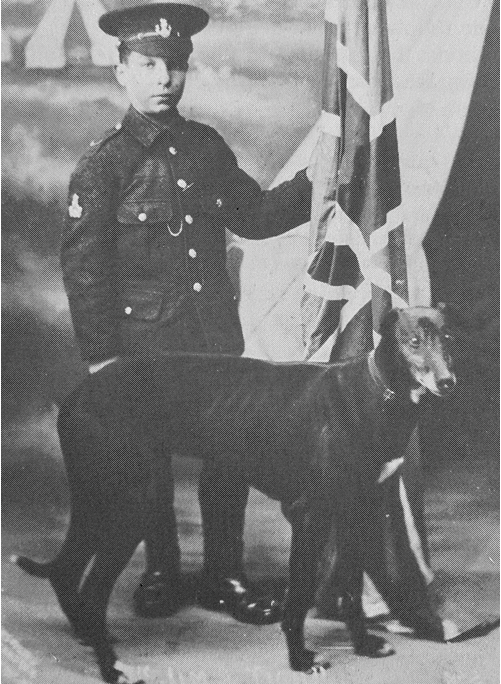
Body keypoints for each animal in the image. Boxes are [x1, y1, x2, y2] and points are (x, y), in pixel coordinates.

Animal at [15, 306, 456, 684]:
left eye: (448, 337)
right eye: (413, 341)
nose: (448, 382)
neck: (376, 391)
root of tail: (77, 394)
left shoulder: (359, 510)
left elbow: (350, 591)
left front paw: (362, 645)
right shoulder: (309, 514)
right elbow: (299, 596)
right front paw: (300, 660)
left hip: (98, 499)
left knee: (65, 570)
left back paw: (89, 638)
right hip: (132, 503)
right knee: (91, 589)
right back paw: (111, 668)